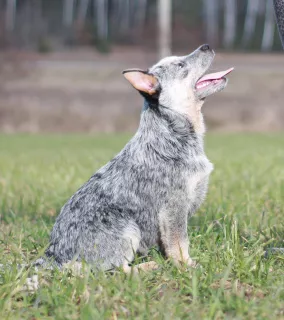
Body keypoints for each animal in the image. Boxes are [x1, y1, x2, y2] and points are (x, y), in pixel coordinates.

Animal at [37, 44, 233, 272]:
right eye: (180, 65)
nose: (206, 46)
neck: (171, 133)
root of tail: (54, 255)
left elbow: (168, 246)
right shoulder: (174, 207)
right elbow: (180, 243)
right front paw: (186, 266)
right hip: (128, 228)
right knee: (113, 270)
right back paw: (147, 267)